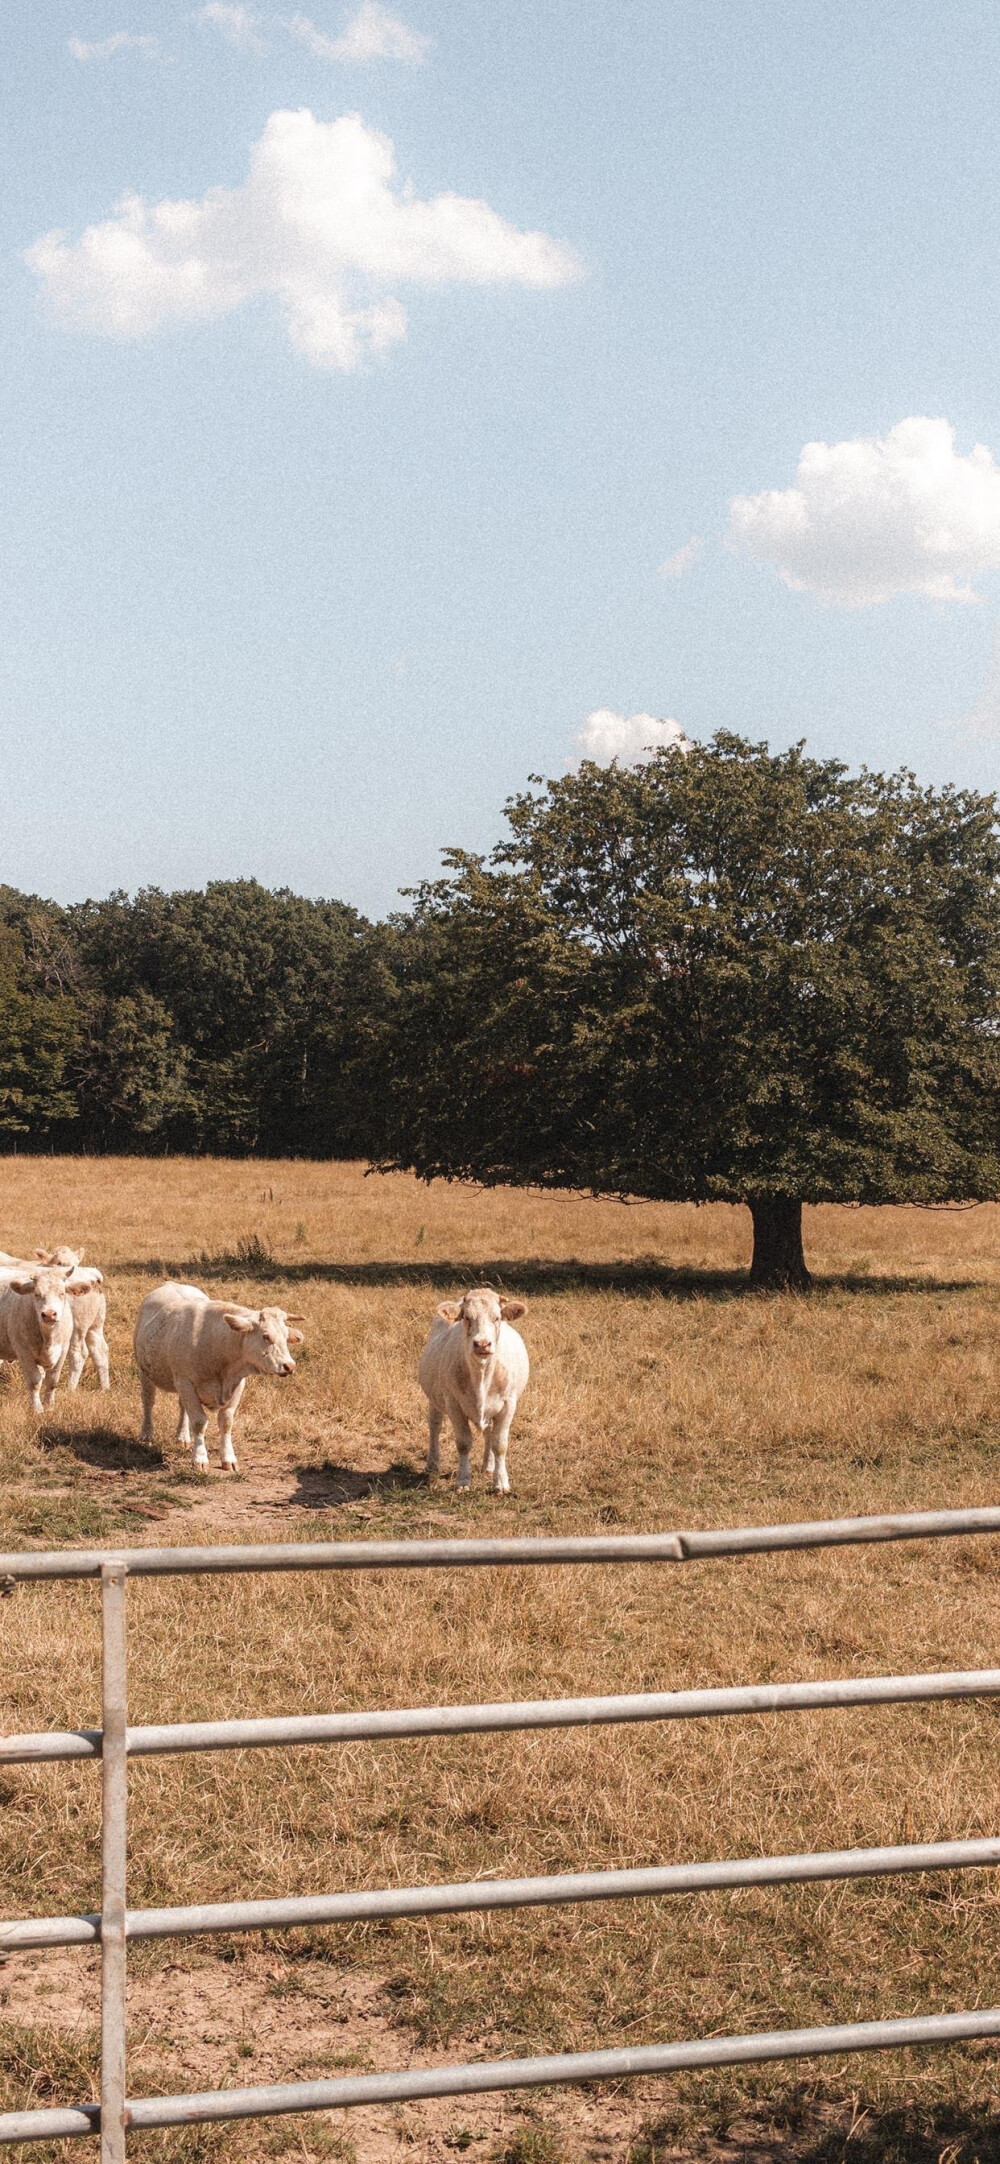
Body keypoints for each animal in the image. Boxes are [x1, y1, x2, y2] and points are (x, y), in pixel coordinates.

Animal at [0, 1263, 95, 1419]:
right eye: (36, 1294)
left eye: (62, 1293)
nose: (49, 1314)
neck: (48, 1338)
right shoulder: (24, 1353)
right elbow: (35, 1382)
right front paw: (37, 1409)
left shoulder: (62, 1351)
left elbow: (52, 1381)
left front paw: (50, 1407)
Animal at [132, 1281, 305, 1471]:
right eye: (265, 1336)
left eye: (286, 1336)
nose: (289, 1366)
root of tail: (170, 1283)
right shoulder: (186, 1383)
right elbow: (199, 1422)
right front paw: (200, 1458)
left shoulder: (237, 1385)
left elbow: (226, 1422)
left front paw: (228, 1458)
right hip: (145, 1372)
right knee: (148, 1401)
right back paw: (147, 1433)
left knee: (182, 1406)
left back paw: (182, 1436)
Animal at [417, 1281, 528, 1488]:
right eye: (467, 1317)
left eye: (497, 1318)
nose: (482, 1344)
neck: (481, 1374)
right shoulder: (453, 1404)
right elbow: (463, 1443)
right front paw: (463, 1480)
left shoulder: (508, 1405)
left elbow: (499, 1444)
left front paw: (501, 1481)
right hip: (434, 1398)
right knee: (435, 1425)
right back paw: (433, 1464)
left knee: (489, 1433)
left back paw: (488, 1466)